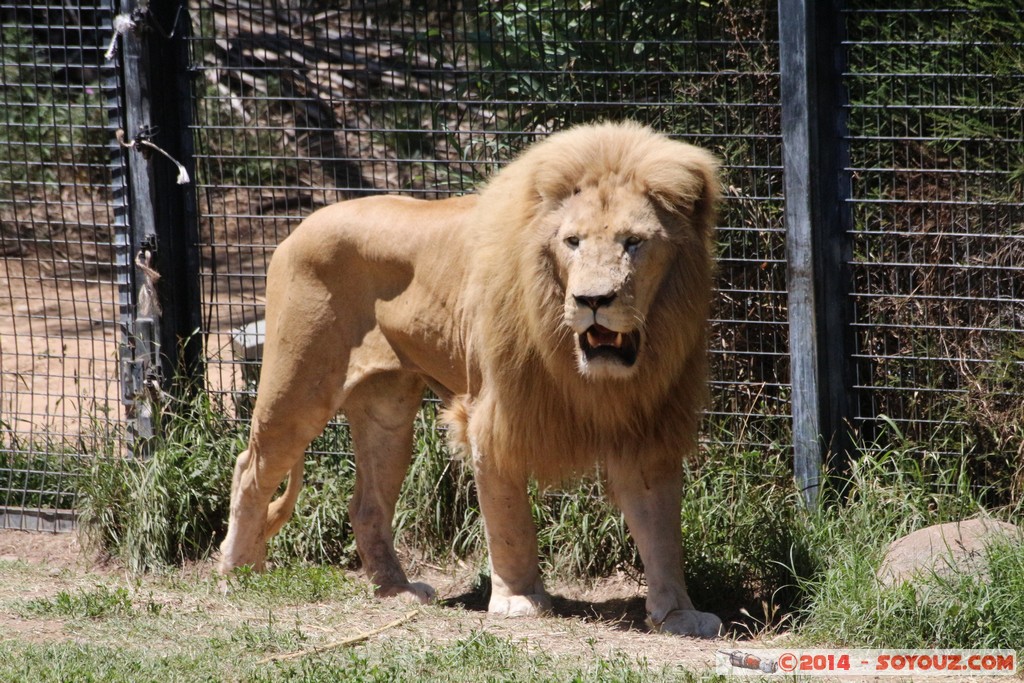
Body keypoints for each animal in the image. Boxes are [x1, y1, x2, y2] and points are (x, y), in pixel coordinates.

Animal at [220, 120, 724, 638]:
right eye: (573, 242)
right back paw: (238, 573)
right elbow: (508, 521)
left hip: (386, 411)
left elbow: (660, 528)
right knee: (250, 468)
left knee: (366, 503)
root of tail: (299, 227)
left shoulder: (648, 426)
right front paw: (519, 598)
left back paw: (397, 590)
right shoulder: (492, 417)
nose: (593, 300)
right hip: (298, 384)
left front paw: (679, 613)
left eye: (633, 242)